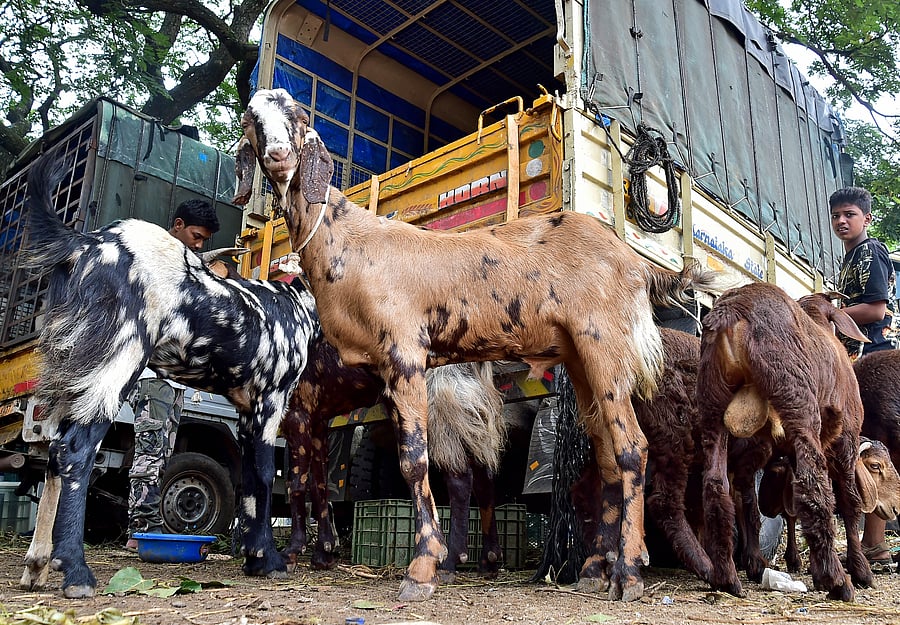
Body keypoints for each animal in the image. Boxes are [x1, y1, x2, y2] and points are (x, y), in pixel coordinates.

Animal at [18, 155, 317, 598]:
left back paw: (38, 564)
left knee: (54, 457)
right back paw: (75, 570)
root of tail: (84, 246)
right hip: (118, 361)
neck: (294, 303)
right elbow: (263, 478)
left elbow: (248, 481)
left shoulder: (246, 412)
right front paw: (268, 560)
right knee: (75, 453)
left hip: (69, 370)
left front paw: (252, 557)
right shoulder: (270, 401)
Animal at [234, 88, 716, 602]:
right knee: (605, 454)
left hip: (605, 343)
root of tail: (636, 263)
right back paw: (593, 570)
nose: (279, 156)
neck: (352, 243)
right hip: (581, 359)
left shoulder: (403, 355)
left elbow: (412, 460)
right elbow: (324, 478)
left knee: (632, 449)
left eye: (298, 117)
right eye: (251, 120)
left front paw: (422, 568)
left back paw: (628, 572)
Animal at [697, 283, 875, 601]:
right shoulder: (847, 440)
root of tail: (732, 311)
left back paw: (727, 577)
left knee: (718, 486)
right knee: (813, 487)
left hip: (712, 400)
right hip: (797, 400)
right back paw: (837, 580)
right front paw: (859, 570)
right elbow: (850, 502)